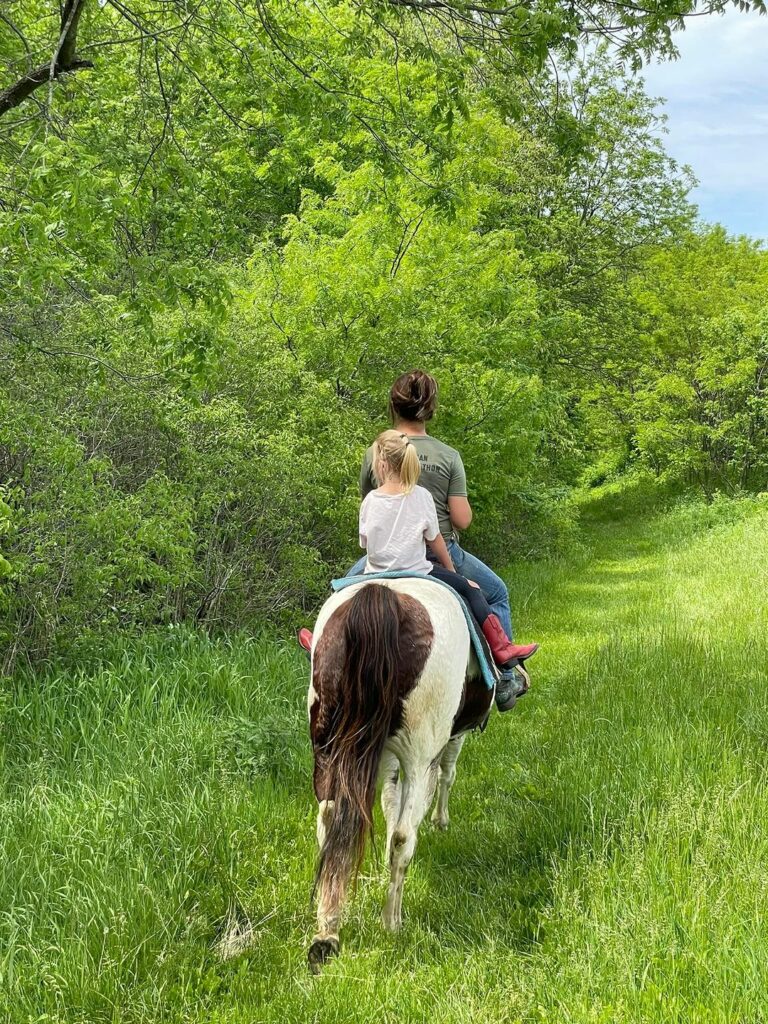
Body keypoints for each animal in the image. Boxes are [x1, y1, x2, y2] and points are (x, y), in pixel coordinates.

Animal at [305, 581, 493, 970]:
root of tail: (381, 598)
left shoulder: (386, 756)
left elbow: (389, 801)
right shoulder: (451, 737)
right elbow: (446, 775)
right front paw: (441, 820)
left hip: (327, 747)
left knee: (329, 823)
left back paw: (327, 931)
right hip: (420, 750)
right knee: (404, 838)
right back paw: (392, 922)